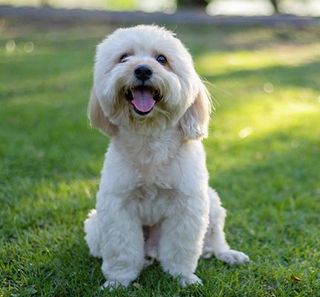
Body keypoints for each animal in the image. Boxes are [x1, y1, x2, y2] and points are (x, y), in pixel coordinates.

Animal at [84, 25, 249, 290]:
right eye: (124, 57)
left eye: (162, 59)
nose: (142, 69)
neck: (150, 135)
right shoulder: (117, 207)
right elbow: (122, 250)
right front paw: (119, 280)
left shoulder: (188, 205)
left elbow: (181, 248)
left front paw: (183, 276)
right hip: (95, 224)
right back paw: (146, 259)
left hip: (212, 203)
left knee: (215, 239)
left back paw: (226, 254)